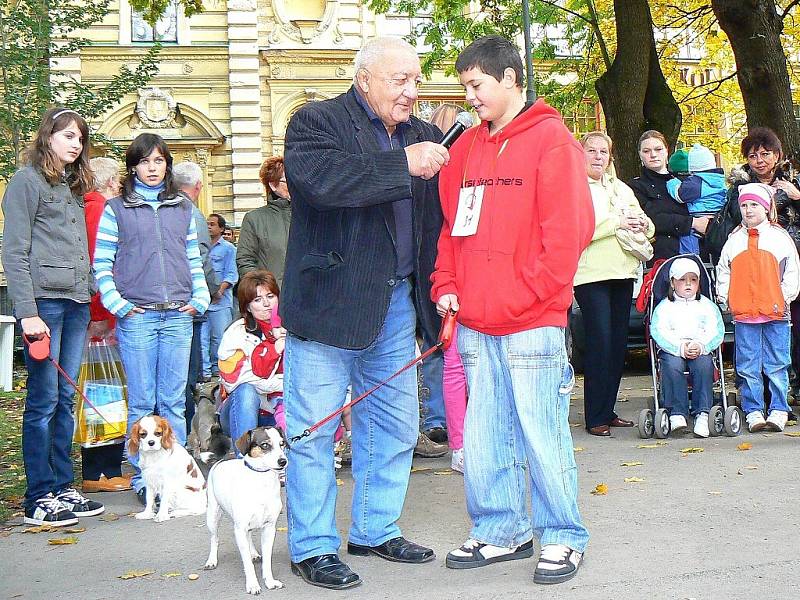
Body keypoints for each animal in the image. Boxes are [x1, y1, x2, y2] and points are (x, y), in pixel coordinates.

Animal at [205, 426, 290, 596]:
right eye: (265, 445)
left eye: (282, 443)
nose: (283, 461)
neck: (262, 483)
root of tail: (221, 460)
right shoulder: (239, 530)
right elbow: (247, 565)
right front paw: (253, 585)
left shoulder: (269, 528)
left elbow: (267, 561)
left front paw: (269, 582)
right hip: (213, 516)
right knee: (214, 538)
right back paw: (212, 560)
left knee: (249, 535)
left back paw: (254, 553)